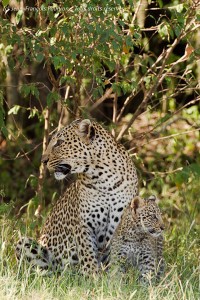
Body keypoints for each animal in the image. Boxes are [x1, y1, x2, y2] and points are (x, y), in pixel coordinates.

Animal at [15, 118, 138, 274]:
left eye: (59, 143)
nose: (43, 161)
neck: (105, 178)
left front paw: (114, 277)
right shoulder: (83, 226)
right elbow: (87, 255)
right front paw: (93, 276)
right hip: (25, 244)